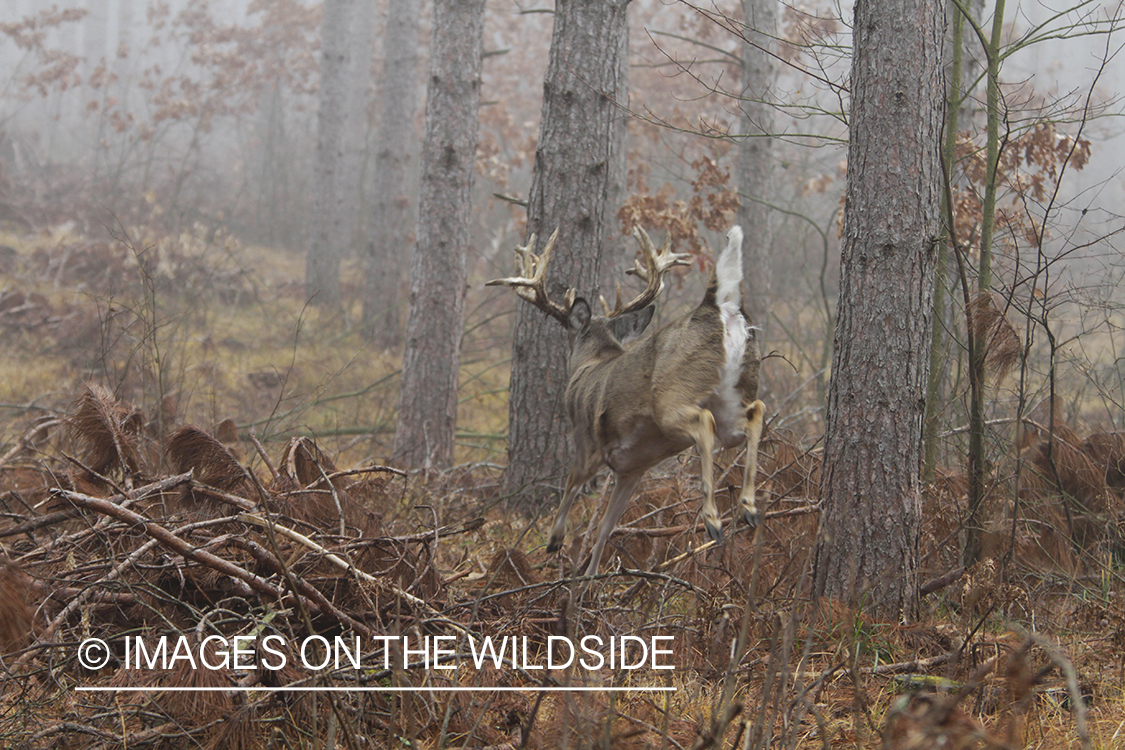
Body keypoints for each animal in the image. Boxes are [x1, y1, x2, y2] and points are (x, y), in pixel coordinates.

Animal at [490, 226, 765, 580]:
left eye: (569, 334)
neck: (590, 363)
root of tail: (718, 308)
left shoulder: (588, 443)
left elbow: (571, 483)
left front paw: (554, 541)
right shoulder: (632, 468)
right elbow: (605, 527)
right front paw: (589, 579)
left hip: (672, 399)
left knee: (705, 422)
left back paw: (714, 520)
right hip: (735, 394)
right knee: (756, 413)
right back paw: (749, 508)